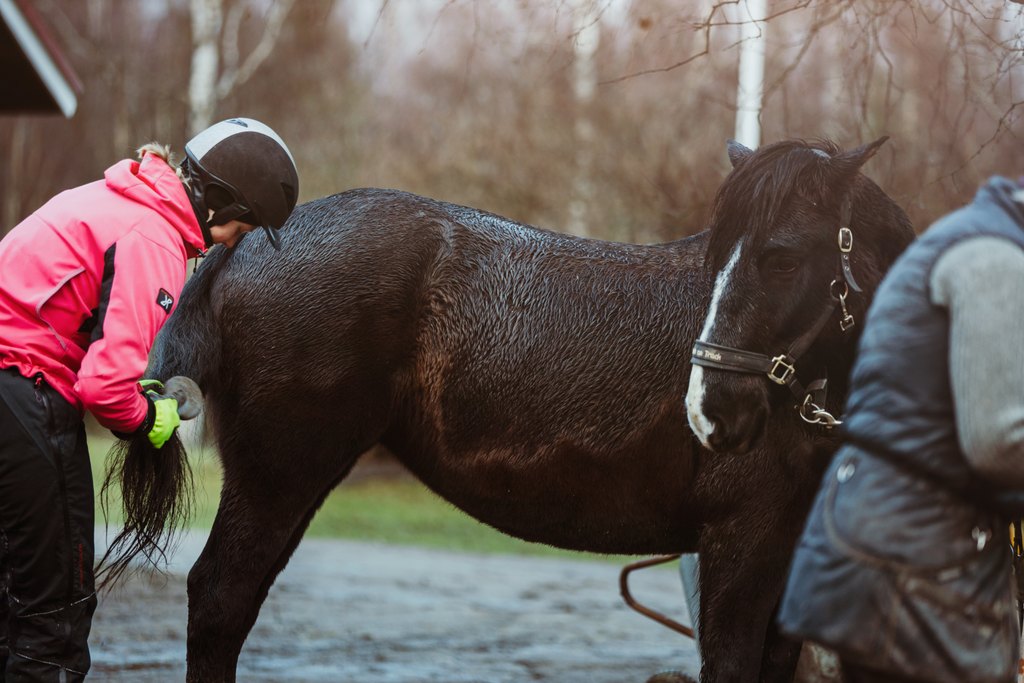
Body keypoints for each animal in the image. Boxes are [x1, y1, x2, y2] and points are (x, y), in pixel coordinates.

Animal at [119, 137, 913, 683]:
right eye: (721, 256)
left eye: (782, 257)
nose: (712, 411)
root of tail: (248, 245)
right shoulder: (739, 548)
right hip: (280, 476)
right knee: (220, 599)